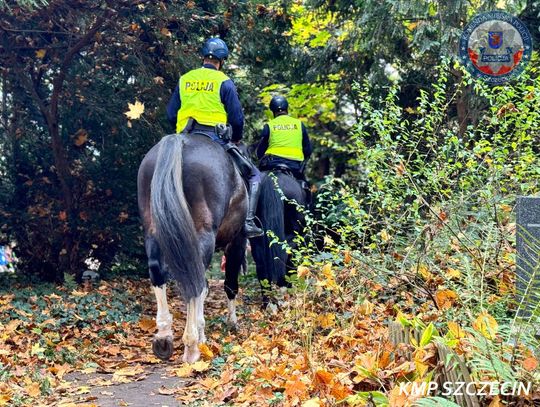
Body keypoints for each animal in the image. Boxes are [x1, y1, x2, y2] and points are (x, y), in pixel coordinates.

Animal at [139, 134, 249, 364]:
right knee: (194, 282)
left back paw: (164, 337)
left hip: (152, 228)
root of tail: (180, 141)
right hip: (203, 234)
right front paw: (230, 323)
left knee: (158, 271)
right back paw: (191, 345)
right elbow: (229, 285)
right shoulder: (237, 241)